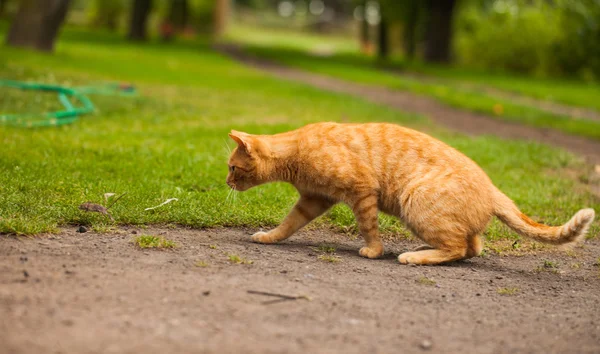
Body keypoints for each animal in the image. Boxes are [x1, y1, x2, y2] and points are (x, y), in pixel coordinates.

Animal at [226, 123, 596, 264]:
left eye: (231, 167)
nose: (226, 182)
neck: (297, 150)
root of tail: (493, 188)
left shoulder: (361, 191)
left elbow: (368, 227)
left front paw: (374, 251)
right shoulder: (314, 200)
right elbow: (288, 224)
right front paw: (269, 237)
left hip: (415, 202)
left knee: (458, 247)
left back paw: (414, 256)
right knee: (472, 247)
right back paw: (422, 249)